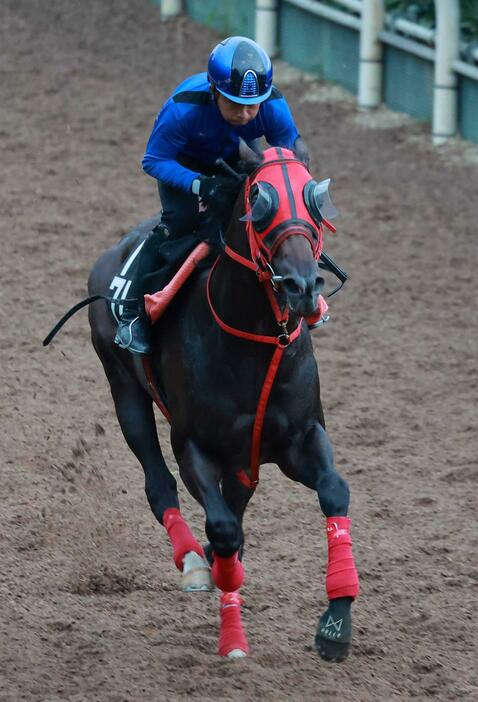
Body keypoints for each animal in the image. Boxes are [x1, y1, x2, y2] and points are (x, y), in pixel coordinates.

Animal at [86, 146, 358, 664]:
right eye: (259, 199)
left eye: (313, 195)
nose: (302, 286)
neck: (256, 341)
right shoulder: (195, 446)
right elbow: (224, 528)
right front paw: (232, 637)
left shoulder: (300, 438)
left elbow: (334, 492)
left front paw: (336, 621)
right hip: (124, 389)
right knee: (159, 484)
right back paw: (196, 562)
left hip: (242, 459)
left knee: (236, 499)